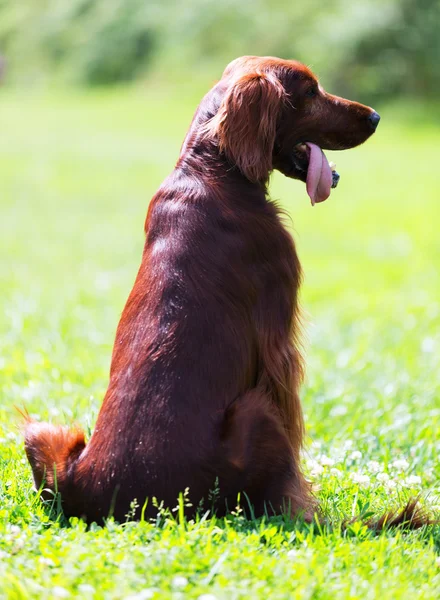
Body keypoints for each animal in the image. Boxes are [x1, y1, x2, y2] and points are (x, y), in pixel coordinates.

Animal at [24, 55, 426, 524]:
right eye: (310, 92)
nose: (376, 117)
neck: (213, 172)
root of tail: (97, 495)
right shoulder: (279, 346)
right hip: (256, 411)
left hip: (45, 435)